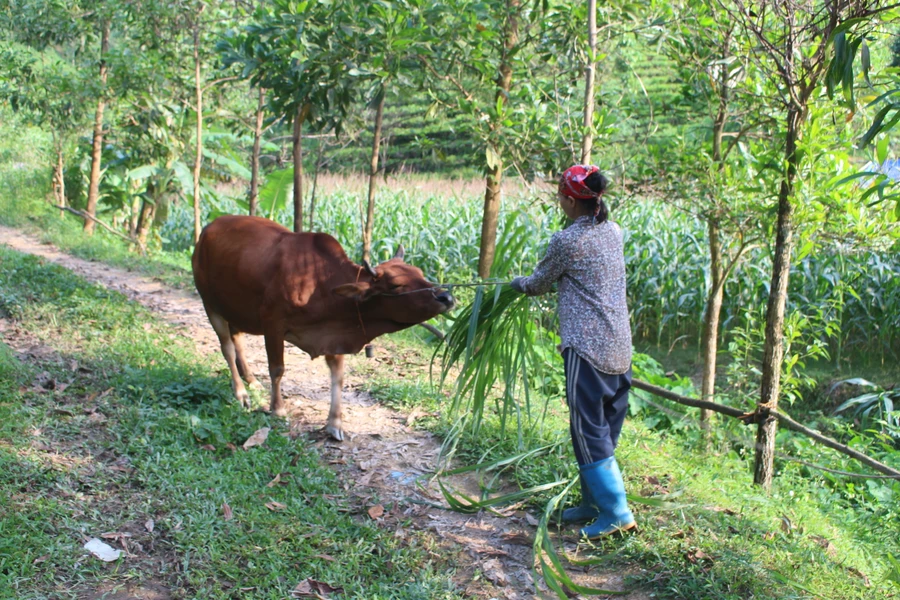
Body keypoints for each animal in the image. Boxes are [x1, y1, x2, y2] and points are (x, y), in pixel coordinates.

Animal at [192, 216, 454, 440]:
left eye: (420, 273)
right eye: (397, 285)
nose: (447, 296)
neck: (322, 285)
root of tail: (207, 229)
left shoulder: (333, 335)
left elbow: (337, 376)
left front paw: (334, 424)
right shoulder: (272, 324)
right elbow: (277, 369)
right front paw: (278, 410)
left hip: (235, 310)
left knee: (237, 340)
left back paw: (252, 381)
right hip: (210, 305)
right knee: (227, 348)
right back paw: (241, 393)